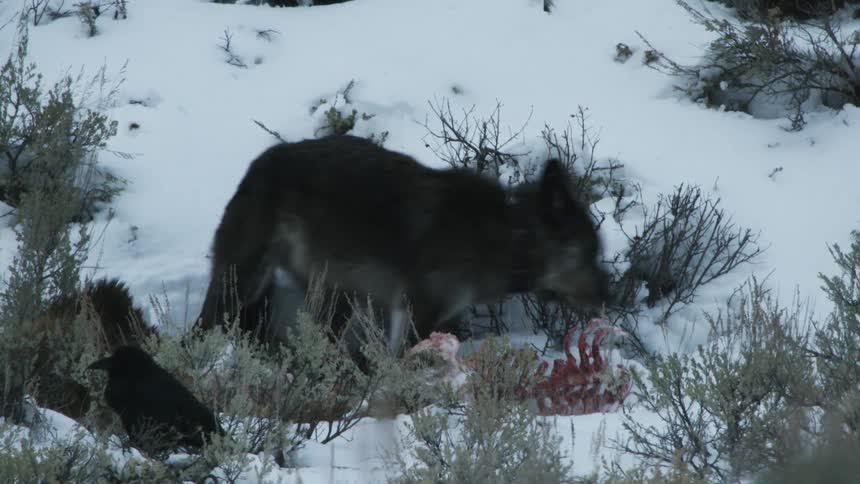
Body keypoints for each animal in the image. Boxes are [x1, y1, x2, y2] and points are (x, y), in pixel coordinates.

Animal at [195, 135, 609, 356]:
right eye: (588, 254)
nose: (611, 294)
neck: (500, 238)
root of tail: (258, 164)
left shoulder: (442, 318)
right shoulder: (415, 314)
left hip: (335, 299)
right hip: (242, 285)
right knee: (200, 332)